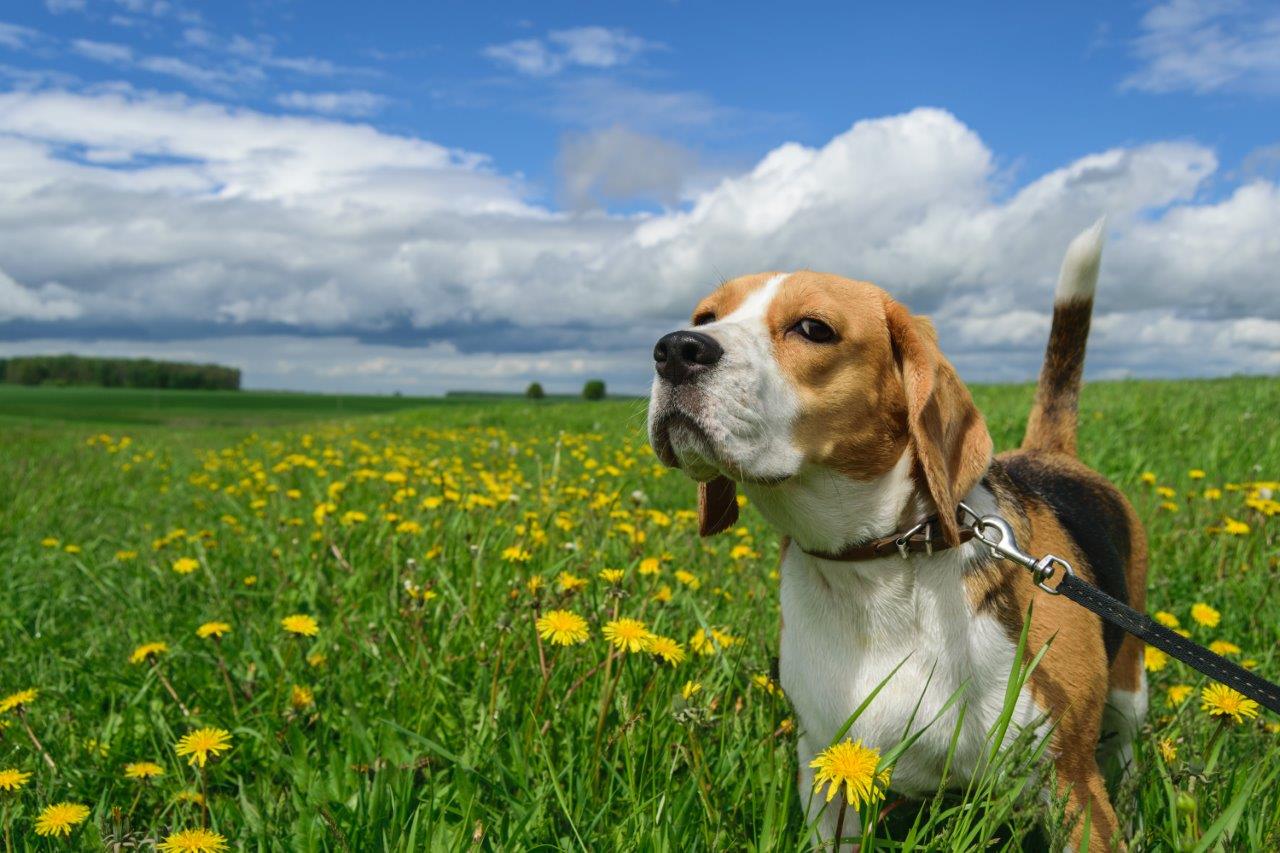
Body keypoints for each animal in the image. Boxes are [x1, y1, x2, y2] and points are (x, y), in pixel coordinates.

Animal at [650, 222, 1152, 845]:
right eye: (704, 316)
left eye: (813, 328)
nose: (675, 349)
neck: (879, 568)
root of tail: (1049, 453)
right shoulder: (828, 773)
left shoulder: (1072, 784)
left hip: (1129, 690)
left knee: (1124, 752)